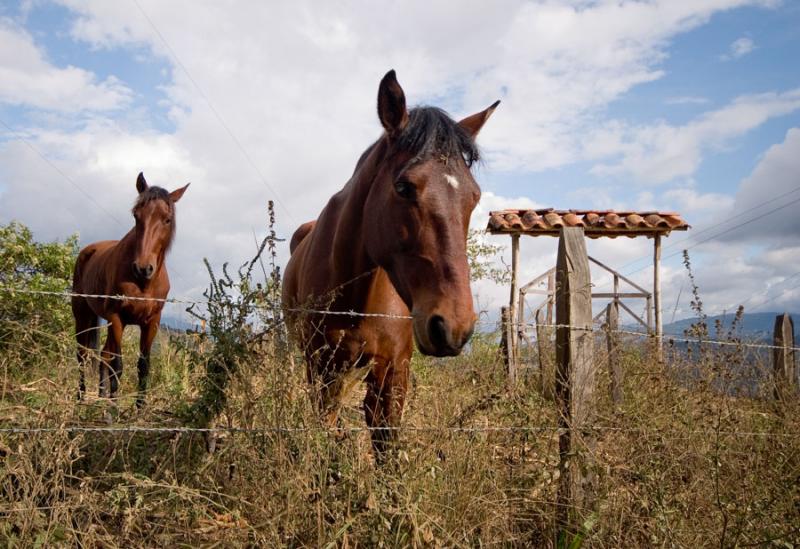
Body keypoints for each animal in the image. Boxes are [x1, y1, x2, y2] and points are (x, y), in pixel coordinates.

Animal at [71, 173, 189, 404]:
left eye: (167, 219)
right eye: (136, 215)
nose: (143, 268)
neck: (144, 284)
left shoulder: (151, 323)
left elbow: (143, 366)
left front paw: (140, 406)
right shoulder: (117, 318)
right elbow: (117, 366)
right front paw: (113, 408)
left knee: (103, 356)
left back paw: (101, 397)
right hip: (82, 314)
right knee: (83, 355)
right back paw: (81, 398)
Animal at [280, 69, 494, 454]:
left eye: (474, 196)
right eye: (404, 187)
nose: (453, 326)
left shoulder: (394, 369)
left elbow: (386, 444)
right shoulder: (321, 367)